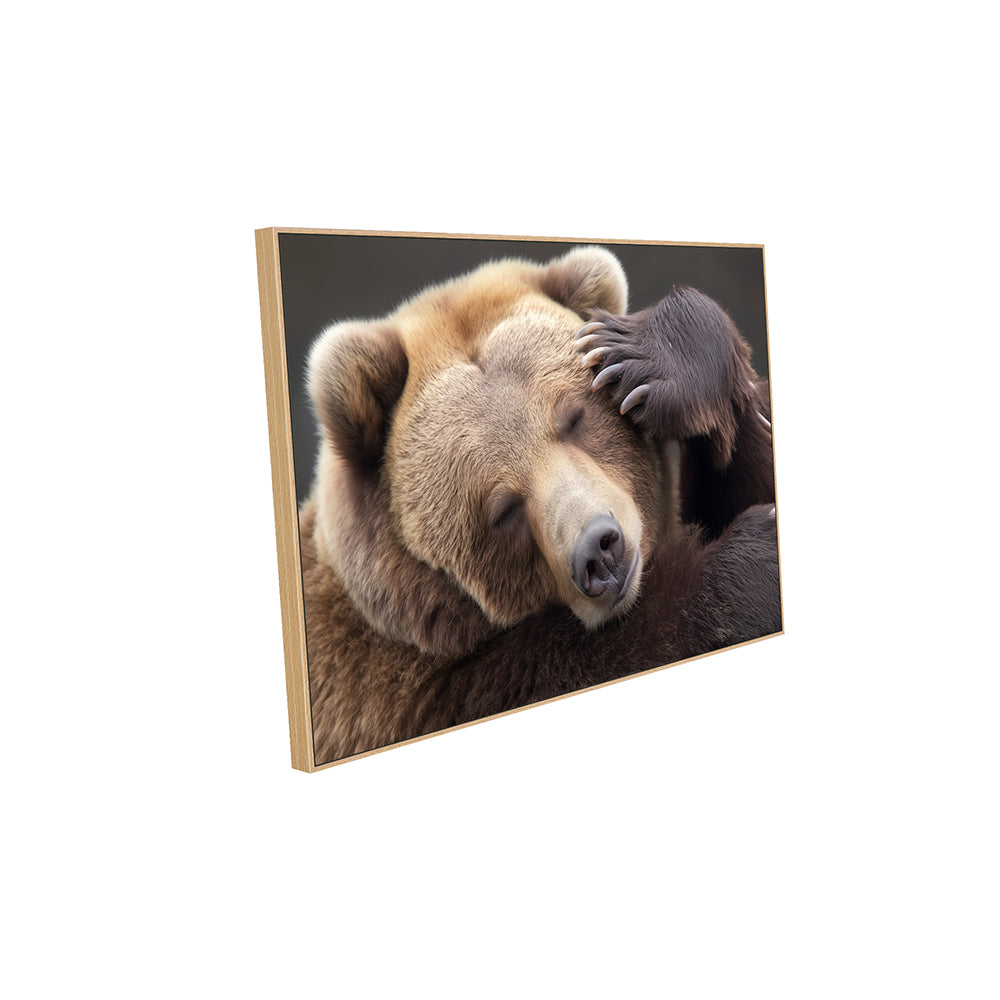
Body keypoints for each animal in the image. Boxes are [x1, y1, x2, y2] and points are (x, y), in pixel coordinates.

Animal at [300, 246, 780, 764]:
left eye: (574, 418)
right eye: (502, 508)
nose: (600, 550)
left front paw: (644, 356)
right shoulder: (397, 696)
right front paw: (752, 560)